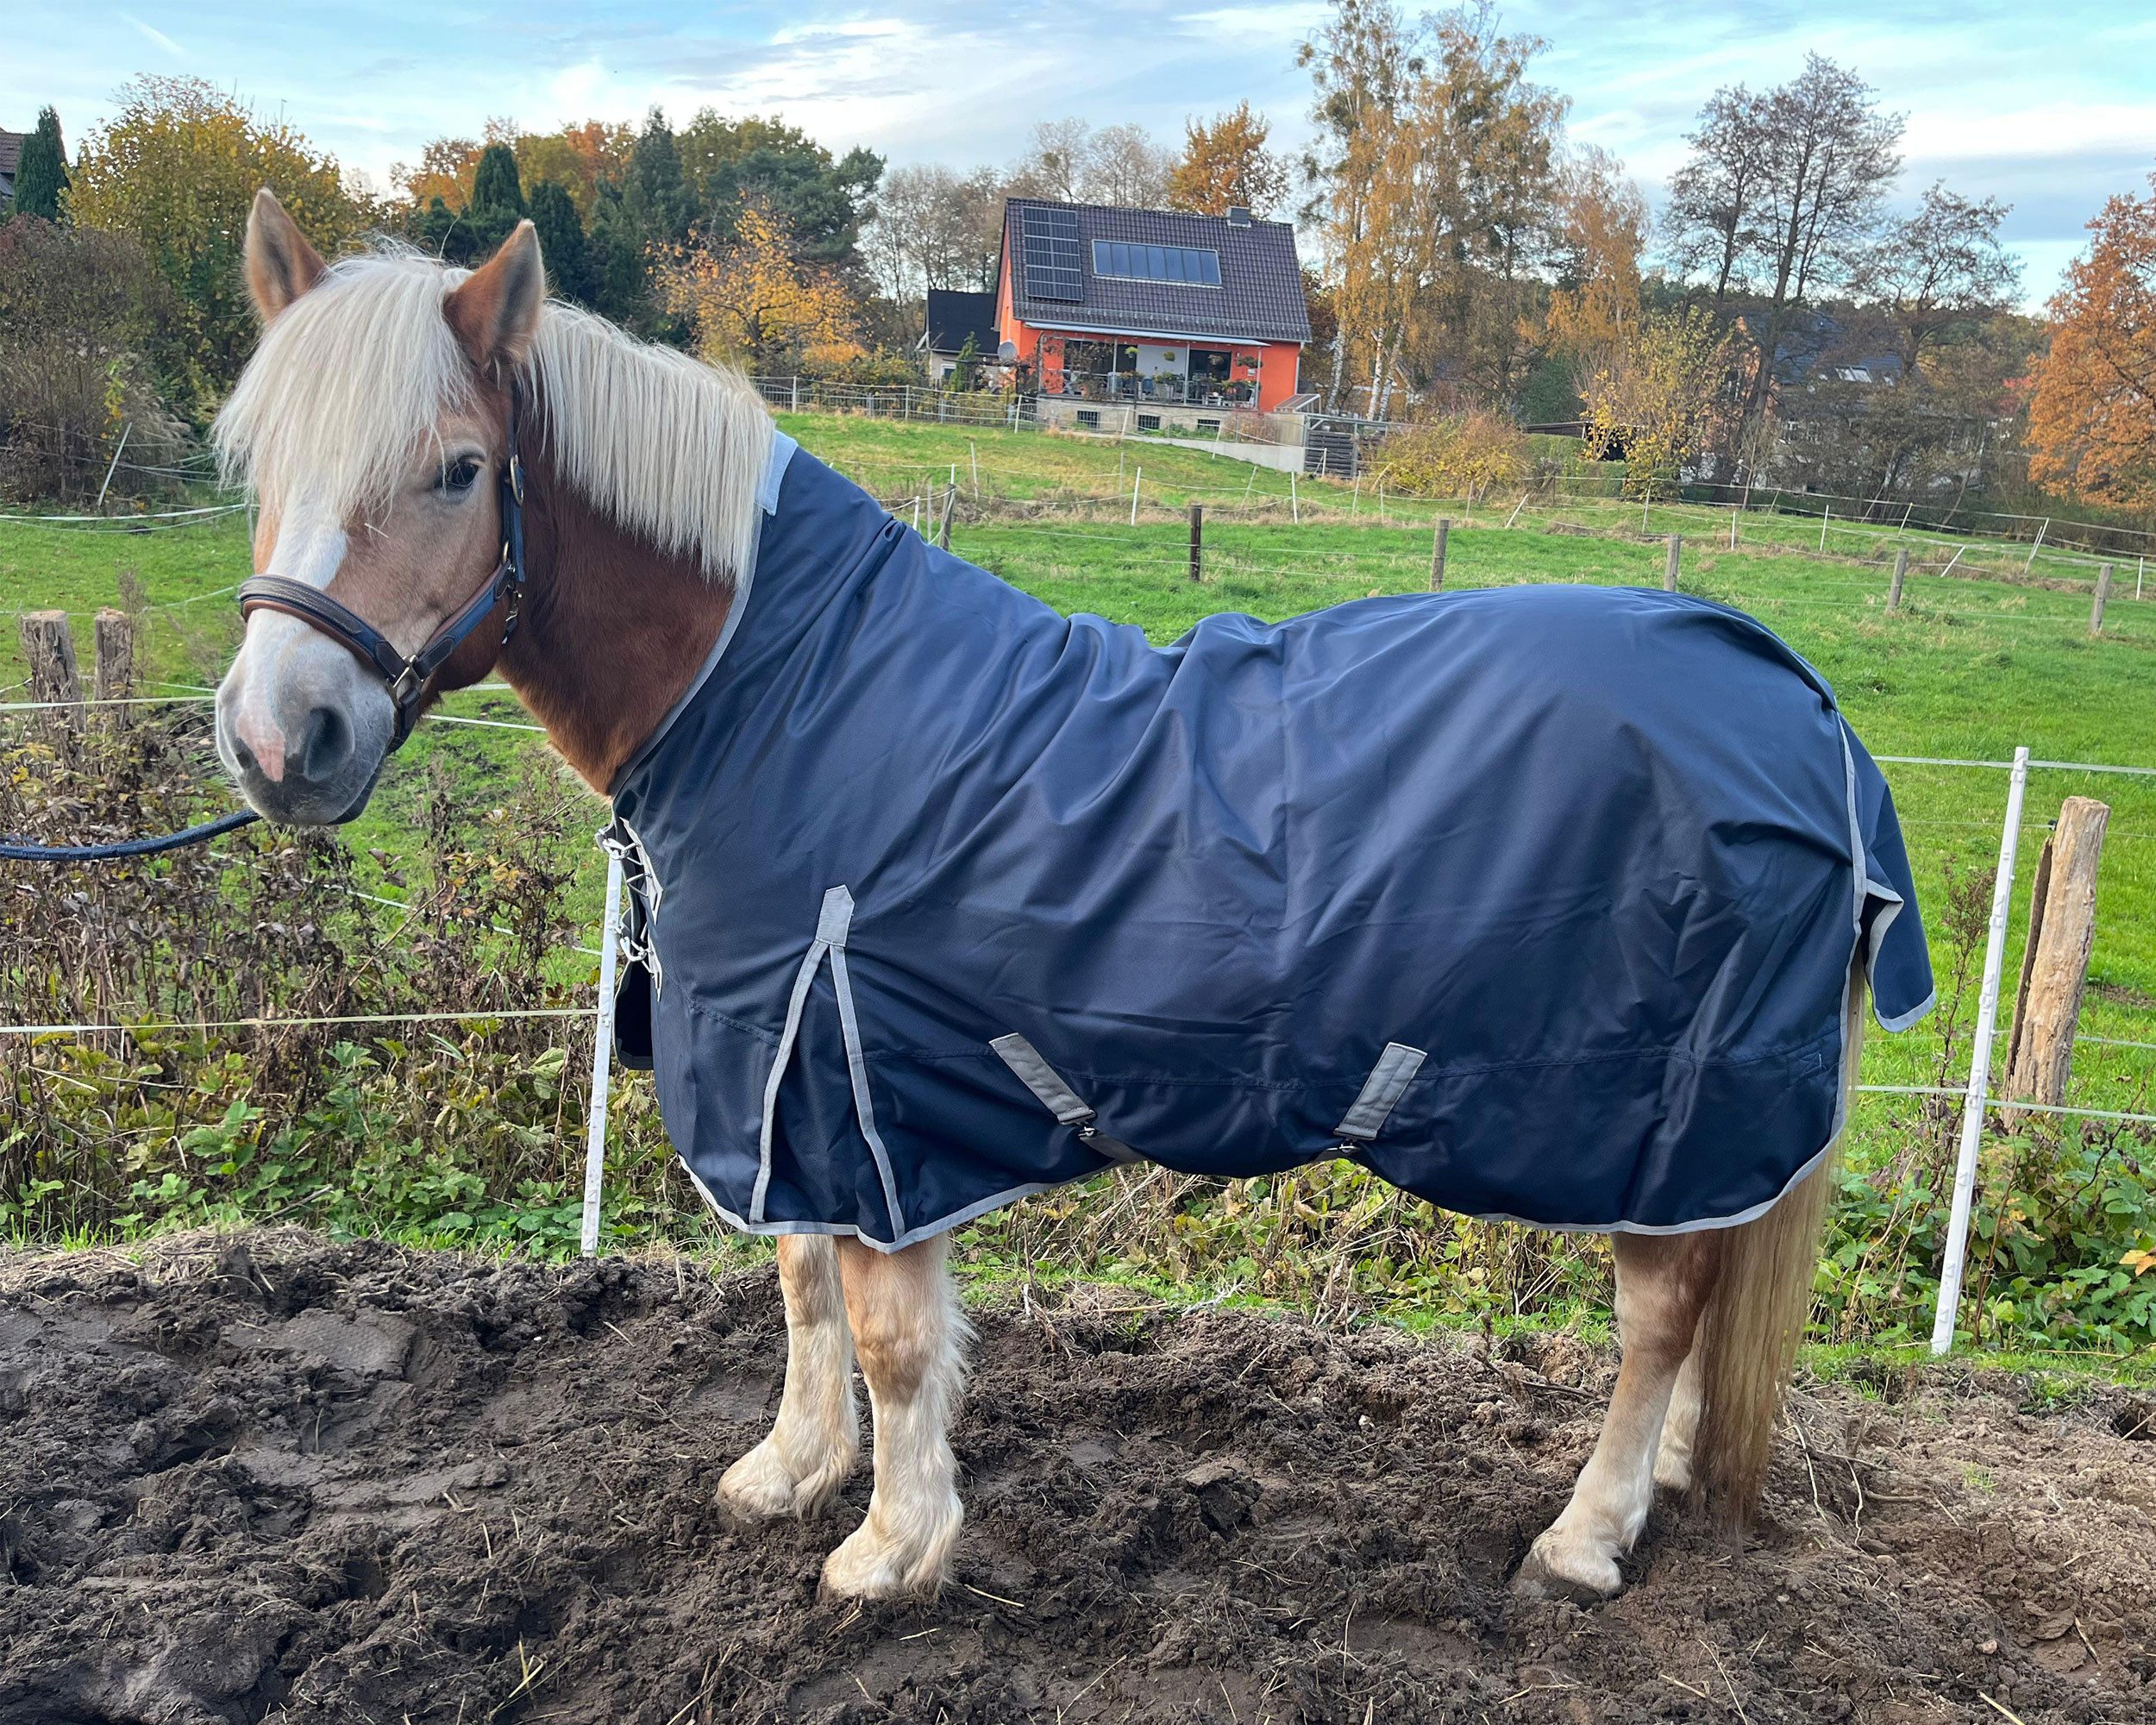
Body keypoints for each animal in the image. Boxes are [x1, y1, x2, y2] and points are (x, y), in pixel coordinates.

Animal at [211, 193, 1927, 1605]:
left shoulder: (854, 1091)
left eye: (458, 470)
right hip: (1703, 1138)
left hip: (1663, 1114)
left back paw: (1586, 1536)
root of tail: (1796, 701)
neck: (781, 691)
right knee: (1707, 1302)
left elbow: (891, 1338)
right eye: (258, 468)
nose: (281, 739)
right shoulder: (786, 1085)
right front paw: (792, 1473)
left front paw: (890, 1549)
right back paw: (1671, 1488)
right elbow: (799, 1290)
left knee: (1659, 1320)